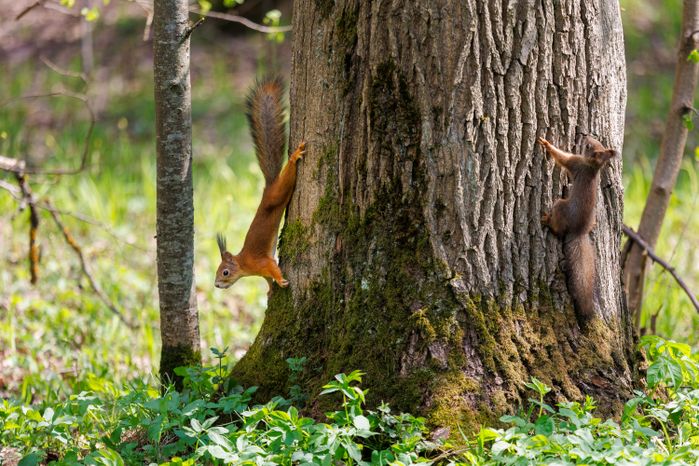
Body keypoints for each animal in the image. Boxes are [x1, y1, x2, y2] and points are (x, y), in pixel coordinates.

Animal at [215, 77, 306, 293]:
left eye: (225, 272)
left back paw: (294, 157)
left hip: (279, 193)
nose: (216, 285)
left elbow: (273, 268)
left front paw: (280, 281)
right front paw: (271, 289)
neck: (244, 263)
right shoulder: (261, 271)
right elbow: (266, 278)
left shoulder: (262, 262)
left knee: (287, 178)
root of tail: (268, 187)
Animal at [538, 135, 617, 323]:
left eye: (588, 146)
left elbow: (562, 158)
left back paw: (547, 221)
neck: (592, 167)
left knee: (558, 230)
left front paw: (546, 144)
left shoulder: (575, 162)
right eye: (593, 142)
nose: (586, 136)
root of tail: (579, 231)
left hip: (560, 206)